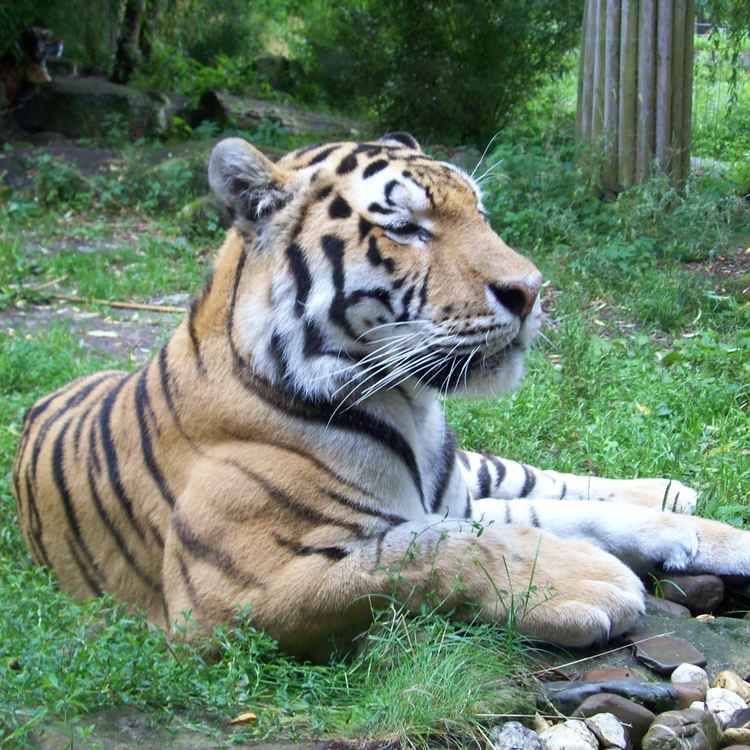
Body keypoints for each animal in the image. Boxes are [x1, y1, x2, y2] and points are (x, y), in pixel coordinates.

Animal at [12, 132, 750, 660]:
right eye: (406, 228)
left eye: (480, 213)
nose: (531, 290)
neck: (410, 407)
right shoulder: (229, 596)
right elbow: (426, 551)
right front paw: (586, 582)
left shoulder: (450, 498)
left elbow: (537, 518)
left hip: (474, 469)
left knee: (545, 481)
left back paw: (679, 501)